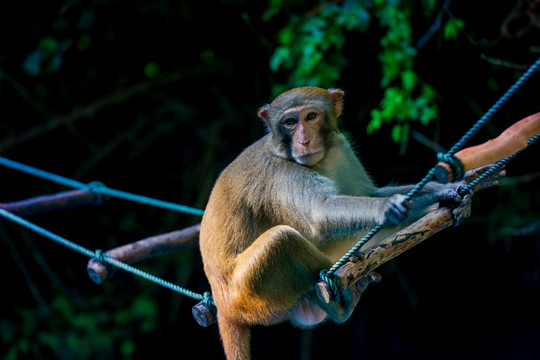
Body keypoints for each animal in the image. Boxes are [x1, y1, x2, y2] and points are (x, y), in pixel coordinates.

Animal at [198, 87, 464, 360]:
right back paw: (339, 297)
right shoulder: (281, 172)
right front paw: (387, 207)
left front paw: (439, 190)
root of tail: (222, 305)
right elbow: (320, 212)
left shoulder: (340, 148)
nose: (304, 141)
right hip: (246, 294)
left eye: (311, 116)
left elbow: (367, 194)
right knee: (282, 239)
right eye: (290, 122)